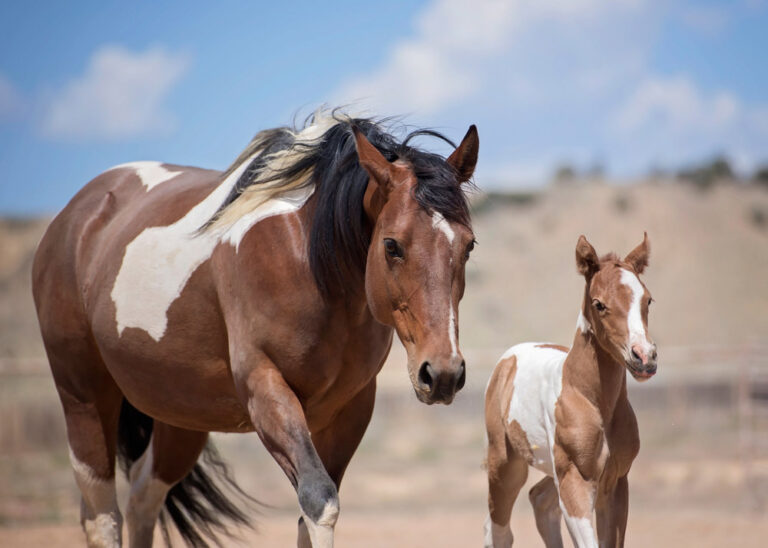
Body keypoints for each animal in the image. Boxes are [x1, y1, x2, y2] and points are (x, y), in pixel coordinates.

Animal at [32, 110, 479, 548]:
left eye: (469, 245)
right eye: (391, 245)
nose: (442, 373)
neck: (310, 262)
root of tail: (75, 215)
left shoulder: (351, 407)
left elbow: (309, 516)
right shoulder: (265, 390)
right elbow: (320, 502)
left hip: (181, 417)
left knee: (143, 499)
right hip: (85, 398)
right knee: (103, 517)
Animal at [483, 234, 657, 548]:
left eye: (647, 299)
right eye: (598, 304)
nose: (644, 357)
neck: (590, 399)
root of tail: (509, 358)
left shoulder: (615, 482)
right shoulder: (576, 480)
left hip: (554, 473)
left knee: (539, 499)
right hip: (506, 466)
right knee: (498, 530)